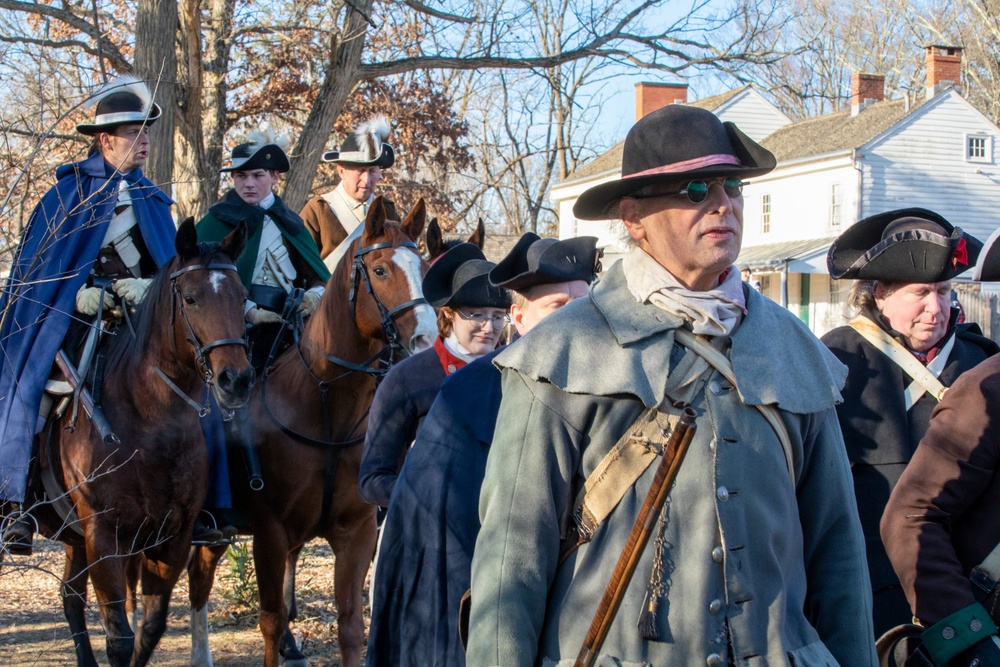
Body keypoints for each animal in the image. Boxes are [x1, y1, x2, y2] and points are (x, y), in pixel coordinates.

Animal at [35, 220, 256, 667]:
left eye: (242, 296)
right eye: (190, 298)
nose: (236, 381)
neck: (150, 424)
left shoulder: (172, 537)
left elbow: (149, 629)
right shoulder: (104, 537)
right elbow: (119, 638)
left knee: (70, 597)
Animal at [189, 198, 436, 667]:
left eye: (424, 268)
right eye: (380, 270)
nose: (426, 341)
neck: (324, 407)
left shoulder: (357, 533)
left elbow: (352, 627)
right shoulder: (268, 534)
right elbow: (270, 621)